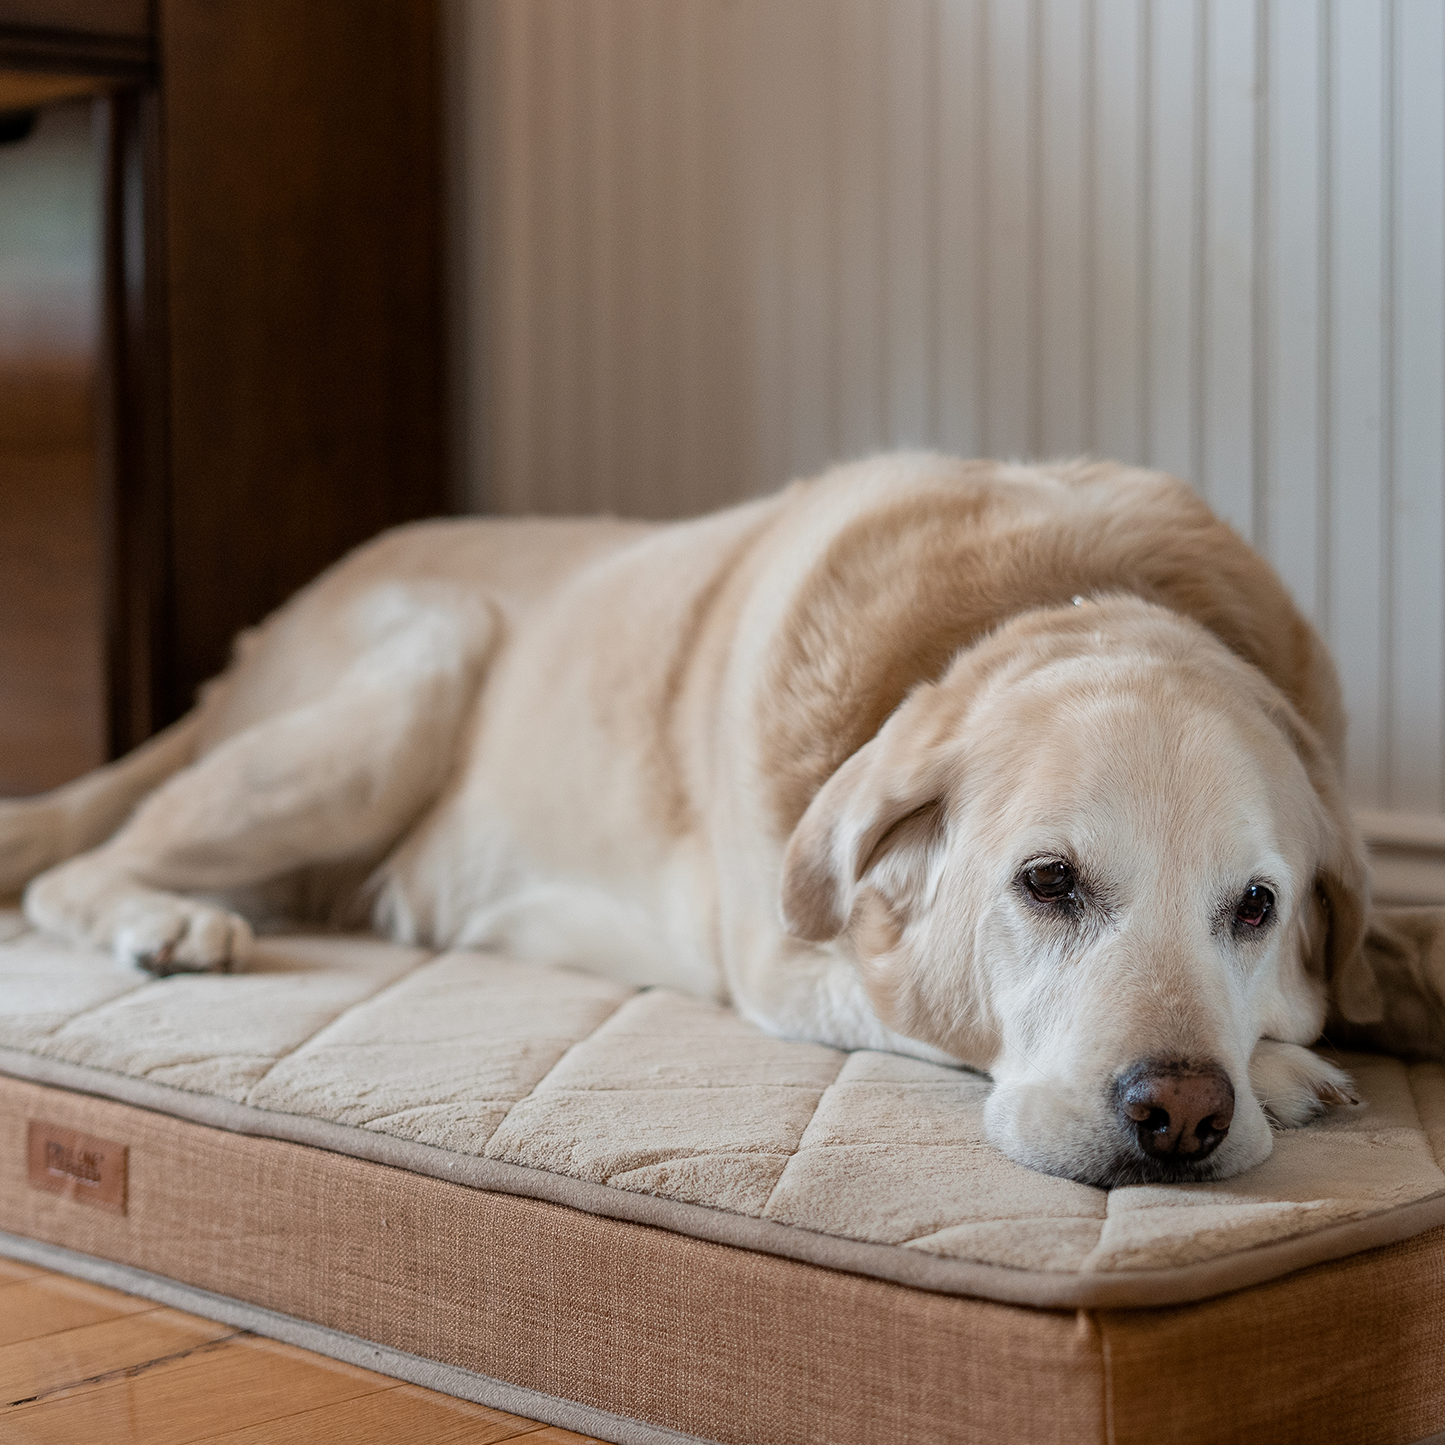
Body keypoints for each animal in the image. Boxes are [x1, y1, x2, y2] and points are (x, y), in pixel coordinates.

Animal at [0, 453, 1433, 1184]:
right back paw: (166, 921)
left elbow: (1384, 950)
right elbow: (922, 1004)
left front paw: (1386, 987)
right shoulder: (790, 961)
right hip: (413, 682)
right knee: (78, 869)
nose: (1178, 1113)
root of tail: (262, 635)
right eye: (1046, 881)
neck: (1057, 593)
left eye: (1254, 906)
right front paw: (1290, 1065)